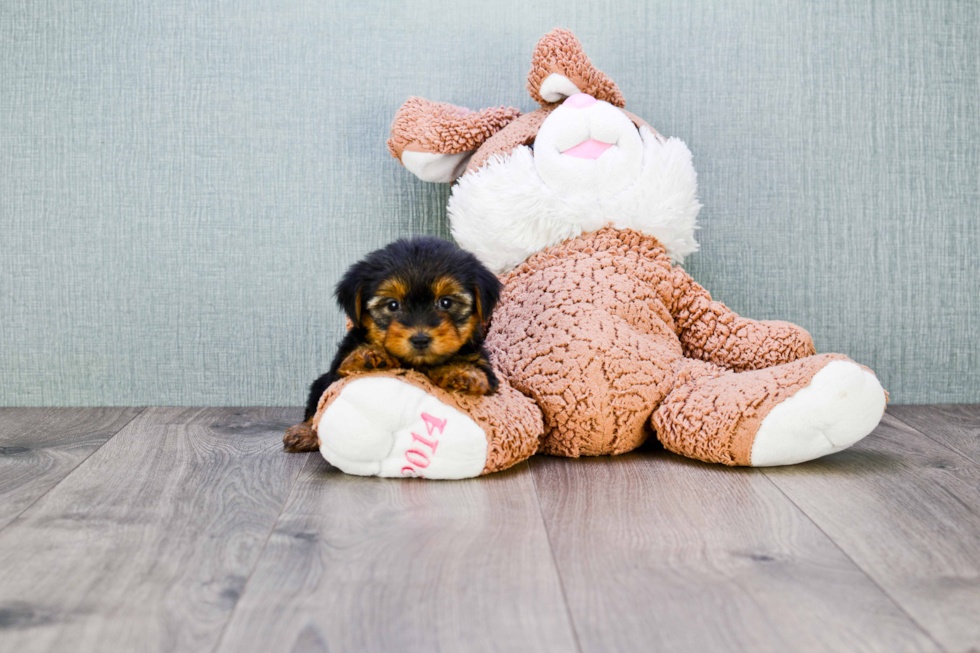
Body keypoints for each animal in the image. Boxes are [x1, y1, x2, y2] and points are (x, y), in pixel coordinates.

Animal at [282, 236, 498, 454]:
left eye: (446, 303)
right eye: (392, 305)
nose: (420, 339)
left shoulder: (485, 369)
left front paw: (462, 373)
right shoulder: (337, 369)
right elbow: (340, 374)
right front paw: (367, 356)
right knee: (315, 407)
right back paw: (305, 432)